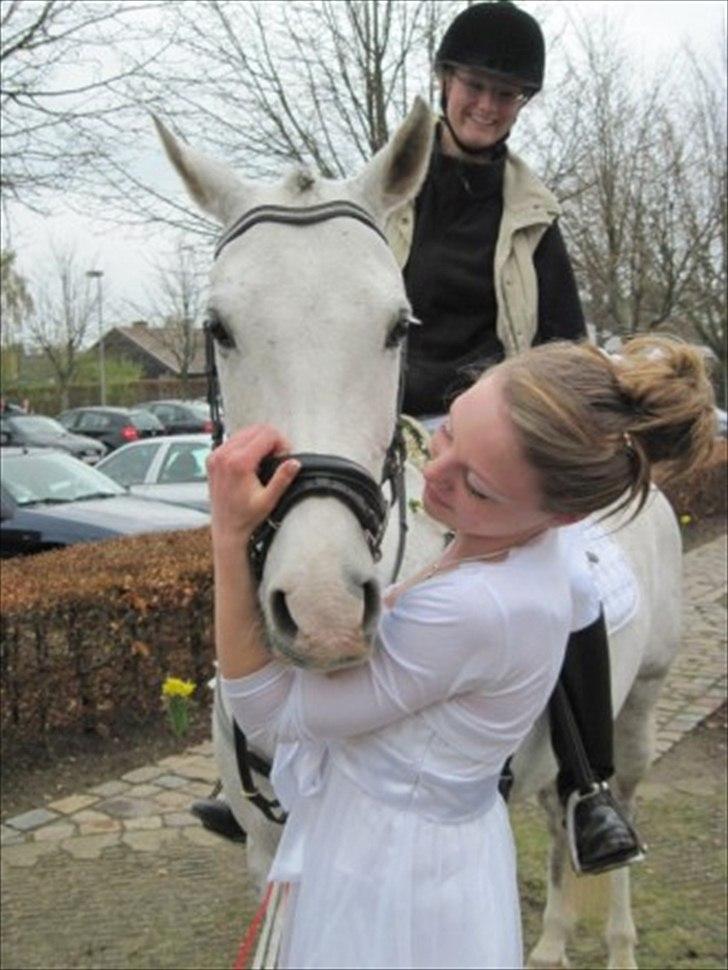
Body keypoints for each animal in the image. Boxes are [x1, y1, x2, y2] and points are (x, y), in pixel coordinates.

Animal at [155, 98, 683, 970]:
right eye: (219, 327)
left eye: (397, 326)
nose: (325, 611)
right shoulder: (270, 849)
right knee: (556, 822)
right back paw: (550, 942)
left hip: (639, 711)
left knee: (614, 818)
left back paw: (618, 939)